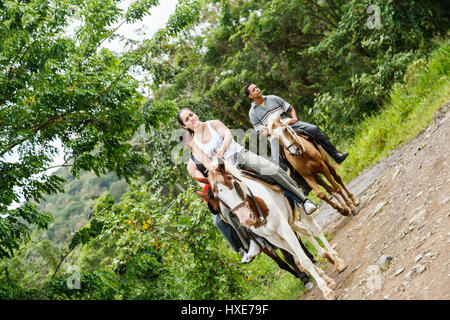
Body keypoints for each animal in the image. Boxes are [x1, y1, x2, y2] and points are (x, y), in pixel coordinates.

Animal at [194, 160, 348, 300]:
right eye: (218, 197)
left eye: (235, 184)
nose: (246, 219)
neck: (257, 209)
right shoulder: (273, 238)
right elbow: (296, 257)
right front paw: (324, 279)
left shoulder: (283, 228)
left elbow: (302, 258)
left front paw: (325, 290)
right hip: (289, 223)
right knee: (306, 233)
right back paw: (326, 258)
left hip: (299, 209)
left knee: (315, 230)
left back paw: (337, 261)